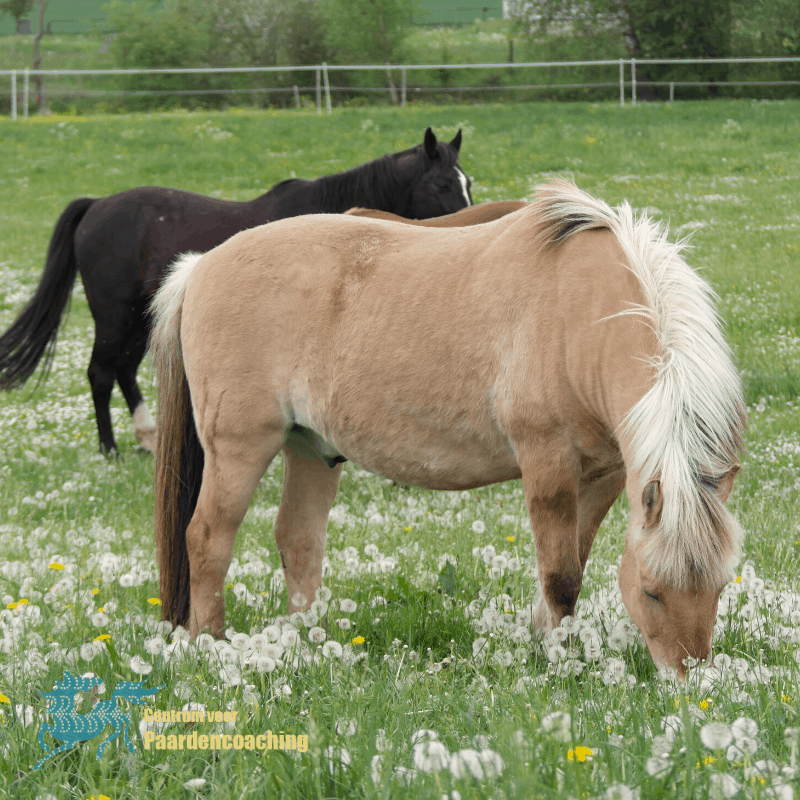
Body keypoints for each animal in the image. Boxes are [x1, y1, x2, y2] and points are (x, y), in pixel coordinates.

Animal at [0, 128, 471, 455]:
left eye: (467, 182)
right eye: (442, 185)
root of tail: (96, 205)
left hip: (140, 315)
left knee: (124, 370)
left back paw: (146, 438)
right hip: (114, 312)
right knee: (101, 372)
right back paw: (110, 448)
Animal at [151, 180, 745, 678]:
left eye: (718, 588)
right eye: (651, 591)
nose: (689, 680)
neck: (581, 311)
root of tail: (199, 267)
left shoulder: (604, 475)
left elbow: (572, 561)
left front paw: (546, 639)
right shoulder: (547, 460)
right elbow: (561, 574)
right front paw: (561, 659)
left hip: (311, 450)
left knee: (298, 539)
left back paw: (309, 640)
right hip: (238, 448)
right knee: (207, 539)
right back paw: (210, 644)